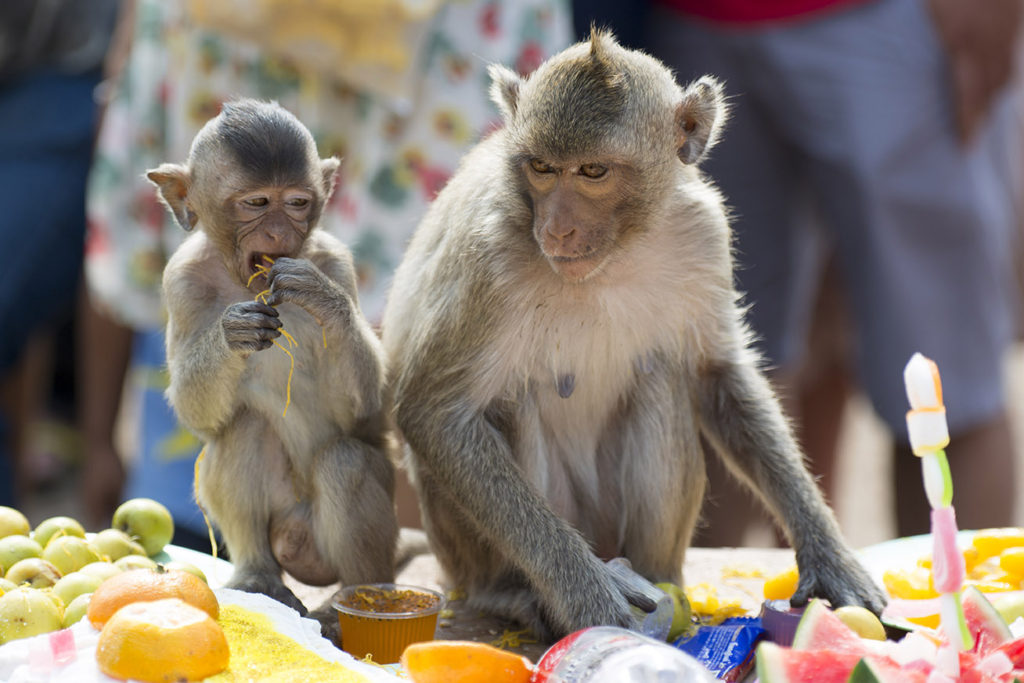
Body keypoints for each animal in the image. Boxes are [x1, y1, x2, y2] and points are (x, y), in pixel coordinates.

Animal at [151, 98, 395, 638]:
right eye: (258, 203)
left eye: (298, 202)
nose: (281, 234)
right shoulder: (181, 281)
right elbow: (200, 418)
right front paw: (233, 333)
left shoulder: (335, 259)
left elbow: (369, 418)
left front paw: (322, 298)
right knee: (243, 431)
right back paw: (259, 576)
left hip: (323, 547)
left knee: (345, 460)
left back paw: (356, 599)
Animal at [380, 29, 884, 643]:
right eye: (542, 167)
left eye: (593, 172)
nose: (556, 229)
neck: (617, 252)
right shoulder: (486, 251)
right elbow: (434, 411)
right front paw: (586, 591)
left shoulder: (704, 233)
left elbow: (716, 374)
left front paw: (828, 552)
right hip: (482, 552)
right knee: (512, 402)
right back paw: (514, 593)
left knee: (661, 375)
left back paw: (661, 580)